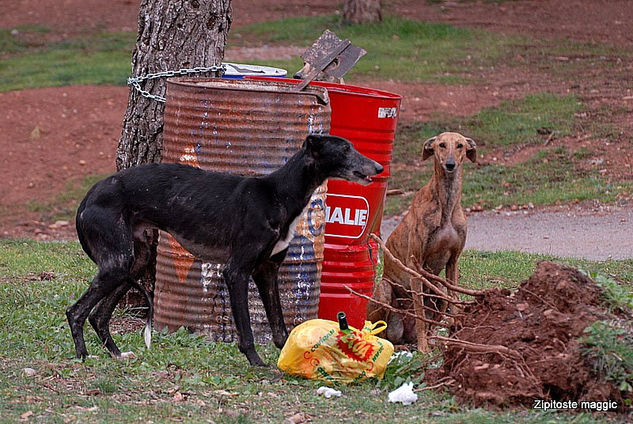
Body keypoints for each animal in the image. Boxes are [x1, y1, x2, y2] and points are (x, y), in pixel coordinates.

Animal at [71, 134, 382, 366]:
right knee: (76, 312)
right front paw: (258, 364)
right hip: (119, 262)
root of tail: (89, 195)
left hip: (136, 261)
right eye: (345, 149)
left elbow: (280, 326)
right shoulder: (236, 271)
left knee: (98, 315)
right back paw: (83, 356)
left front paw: (290, 356)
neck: (278, 194)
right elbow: (246, 328)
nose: (379, 168)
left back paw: (117, 354)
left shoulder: (267, 271)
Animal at [366, 132, 474, 352]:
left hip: (438, 288)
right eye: (441, 145)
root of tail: (405, 335)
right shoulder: (415, 267)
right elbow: (421, 315)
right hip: (385, 290)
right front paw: (424, 349)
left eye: (460, 145)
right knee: (384, 334)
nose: (450, 165)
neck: (447, 204)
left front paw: (456, 337)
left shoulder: (453, 262)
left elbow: (453, 301)